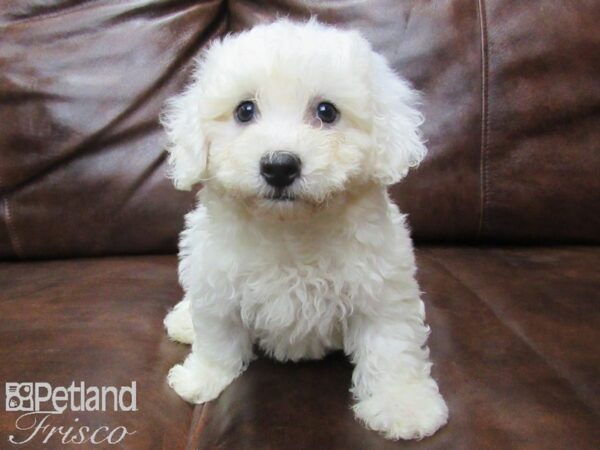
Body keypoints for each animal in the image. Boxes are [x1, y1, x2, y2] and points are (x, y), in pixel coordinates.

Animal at [162, 19, 448, 442]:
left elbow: (391, 346)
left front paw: (403, 405)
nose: (279, 166)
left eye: (327, 112)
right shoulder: (216, 279)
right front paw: (204, 377)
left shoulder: (381, 287)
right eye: (244, 110)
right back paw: (184, 320)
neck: (290, 229)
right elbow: (218, 336)